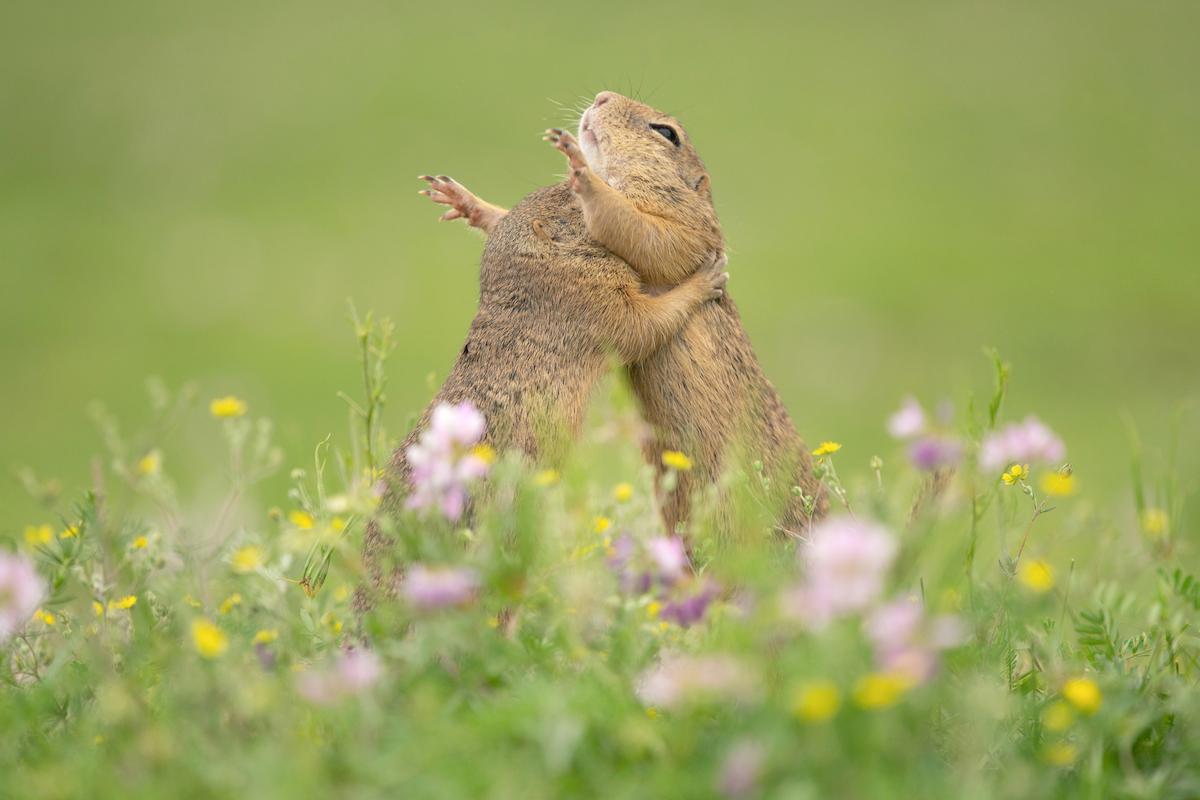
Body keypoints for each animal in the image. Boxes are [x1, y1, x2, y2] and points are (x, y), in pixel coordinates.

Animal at [415, 92, 825, 537]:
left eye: (667, 132)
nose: (602, 96)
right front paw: (463, 200)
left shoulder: (687, 226)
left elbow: (644, 234)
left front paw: (581, 171)